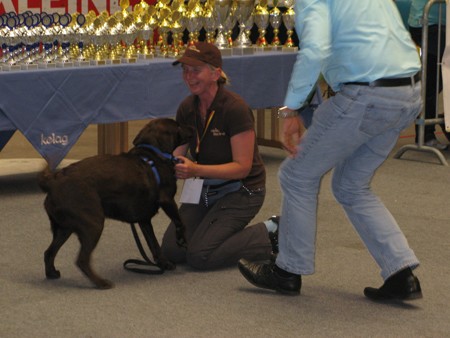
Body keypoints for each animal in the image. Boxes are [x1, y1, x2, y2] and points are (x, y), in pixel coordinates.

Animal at [39, 117, 193, 290]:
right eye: (178, 126)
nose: (192, 128)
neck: (153, 155)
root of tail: (52, 181)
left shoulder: (144, 219)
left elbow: (154, 244)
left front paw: (164, 263)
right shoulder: (167, 200)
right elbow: (180, 222)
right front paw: (182, 241)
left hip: (64, 228)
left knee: (49, 252)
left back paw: (52, 273)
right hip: (93, 223)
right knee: (81, 260)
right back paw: (101, 283)